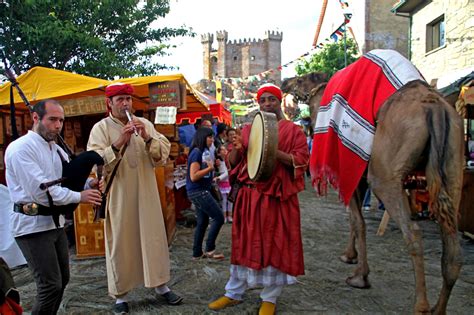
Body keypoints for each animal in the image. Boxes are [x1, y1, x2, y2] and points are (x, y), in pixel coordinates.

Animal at [282, 63, 462, 314]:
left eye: (301, 79)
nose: (284, 83)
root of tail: (434, 107)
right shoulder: (356, 175)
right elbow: (353, 218)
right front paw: (350, 256)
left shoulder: (348, 168)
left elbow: (357, 220)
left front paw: (360, 276)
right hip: (453, 171)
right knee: (452, 245)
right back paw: (439, 308)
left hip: (384, 177)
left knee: (413, 232)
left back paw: (421, 305)